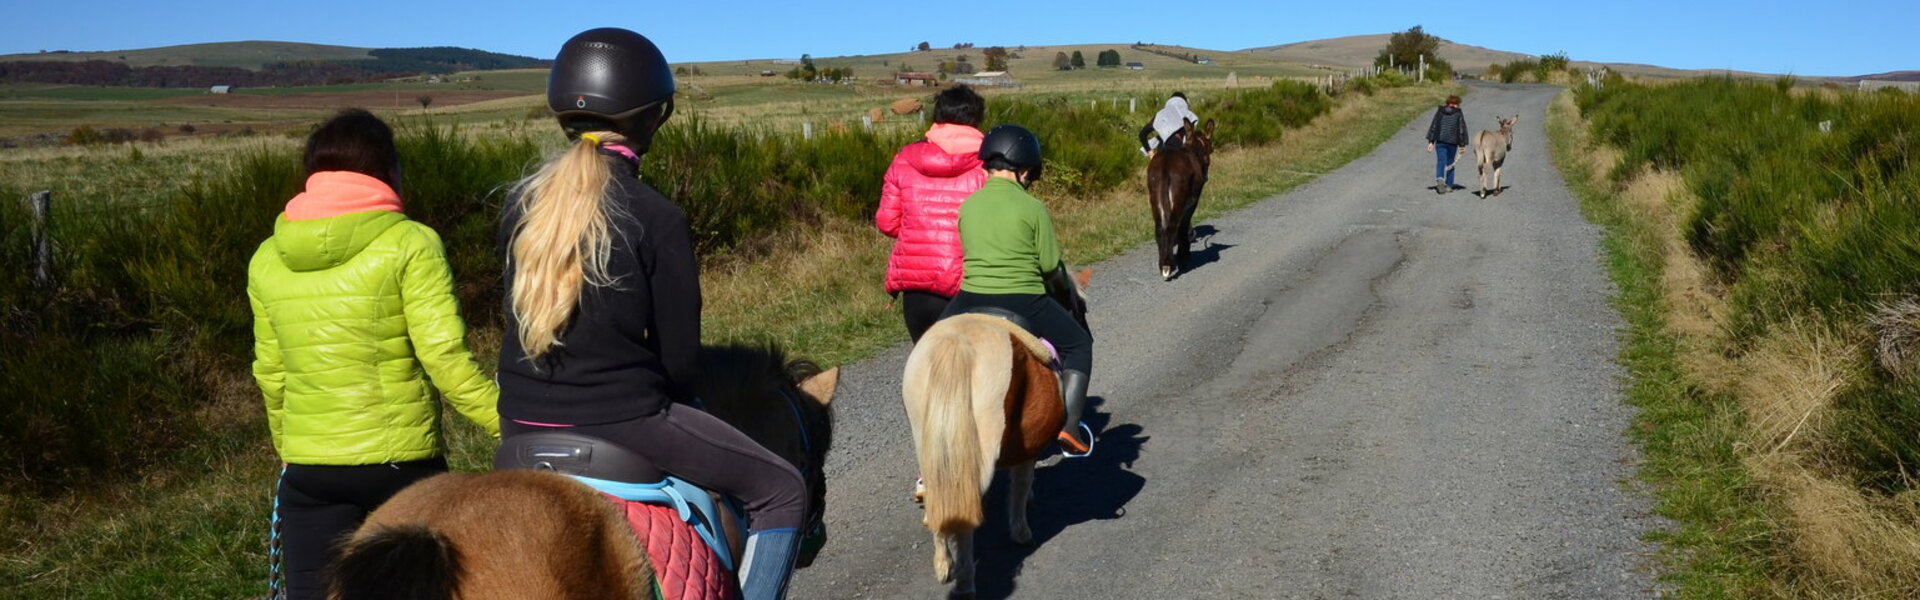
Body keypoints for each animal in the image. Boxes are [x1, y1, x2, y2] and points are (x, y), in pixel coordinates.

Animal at [1144, 120, 1221, 282]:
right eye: (1211, 149)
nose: (1206, 177)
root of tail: (1165, 165)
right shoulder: (1192, 201)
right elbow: (1184, 226)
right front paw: (1184, 255)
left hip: (1154, 196)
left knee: (1159, 227)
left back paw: (1164, 264)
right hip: (1178, 196)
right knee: (1172, 226)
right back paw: (1168, 265)